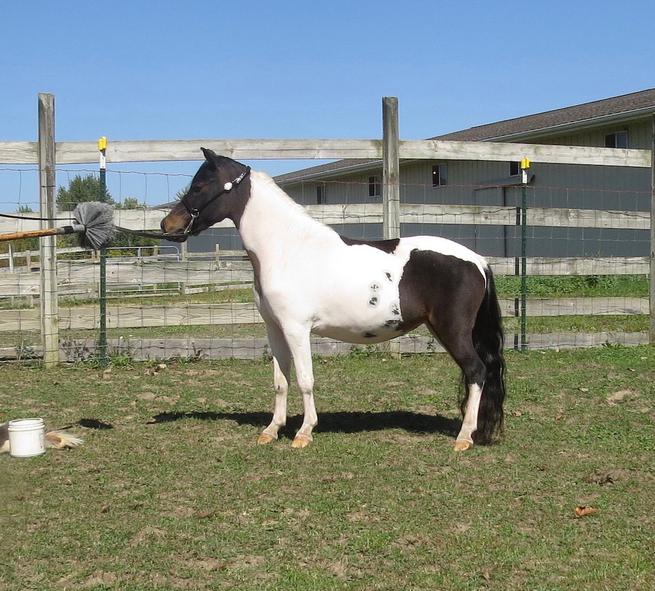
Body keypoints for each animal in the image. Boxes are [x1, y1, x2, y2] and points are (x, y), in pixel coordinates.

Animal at [160, 149, 506, 451]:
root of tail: (477, 260)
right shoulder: (275, 329)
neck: (286, 248)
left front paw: (303, 433)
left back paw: (464, 437)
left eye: (200, 186)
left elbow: (305, 379)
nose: (167, 225)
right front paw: (271, 431)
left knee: (476, 371)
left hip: (452, 330)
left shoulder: (297, 329)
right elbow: (281, 381)